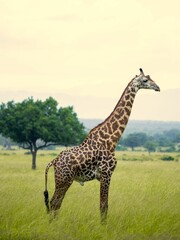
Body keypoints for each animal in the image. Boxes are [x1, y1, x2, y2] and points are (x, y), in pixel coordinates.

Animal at [44, 69, 160, 223]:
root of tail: (54, 161)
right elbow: (104, 206)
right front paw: (103, 226)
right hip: (64, 179)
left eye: (150, 78)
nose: (158, 87)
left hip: (63, 180)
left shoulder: (103, 176)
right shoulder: (106, 173)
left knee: (55, 203)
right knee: (54, 203)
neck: (111, 140)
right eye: (145, 80)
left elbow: (103, 205)